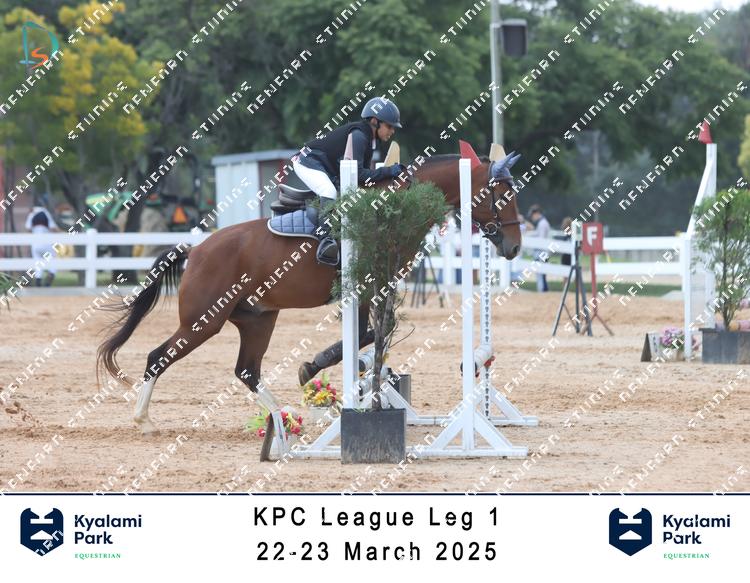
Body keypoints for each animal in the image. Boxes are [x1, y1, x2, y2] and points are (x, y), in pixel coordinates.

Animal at [96, 150, 523, 441]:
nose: (515, 247)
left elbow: (375, 336)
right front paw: (315, 368)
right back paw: (144, 421)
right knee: (158, 357)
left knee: (247, 370)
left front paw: (337, 375)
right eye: (500, 194)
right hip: (205, 320)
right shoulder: (364, 288)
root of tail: (197, 249)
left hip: (258, 318)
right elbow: (368, 336)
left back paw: (282, 420)